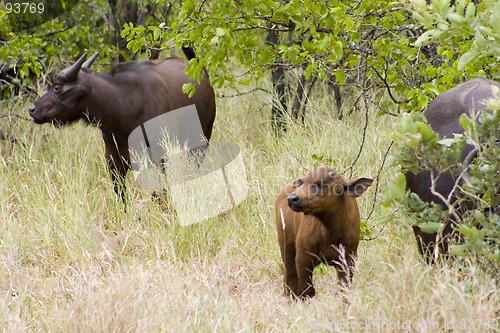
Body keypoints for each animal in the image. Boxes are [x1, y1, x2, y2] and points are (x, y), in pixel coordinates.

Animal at [28, 48, 217, 198]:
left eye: (57, 87)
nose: (32, 109)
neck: (124, 108)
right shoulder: (113, 160)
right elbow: (121, 195)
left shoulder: (157, 158)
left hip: (200, 141)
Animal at [274, 166, 372, 298]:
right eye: (302, 182)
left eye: (321, 183)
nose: (292, 198)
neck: (331, 233)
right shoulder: (303, 257)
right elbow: (307, 291)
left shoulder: (348, 259)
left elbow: (344, 290)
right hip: (286, 247)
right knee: (290, 279)